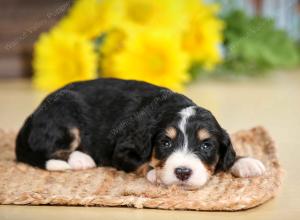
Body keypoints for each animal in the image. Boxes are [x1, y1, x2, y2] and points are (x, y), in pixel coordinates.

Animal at [16, 78, 264, 188]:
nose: (182, 172)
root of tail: (33, 115)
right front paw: (156, 173)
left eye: (206, 145)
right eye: (165, 143)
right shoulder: (121, 150)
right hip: (65, 116)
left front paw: (246, 162)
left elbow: (229, 156)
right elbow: (142, 162)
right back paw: (80, 159)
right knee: (47, 149)